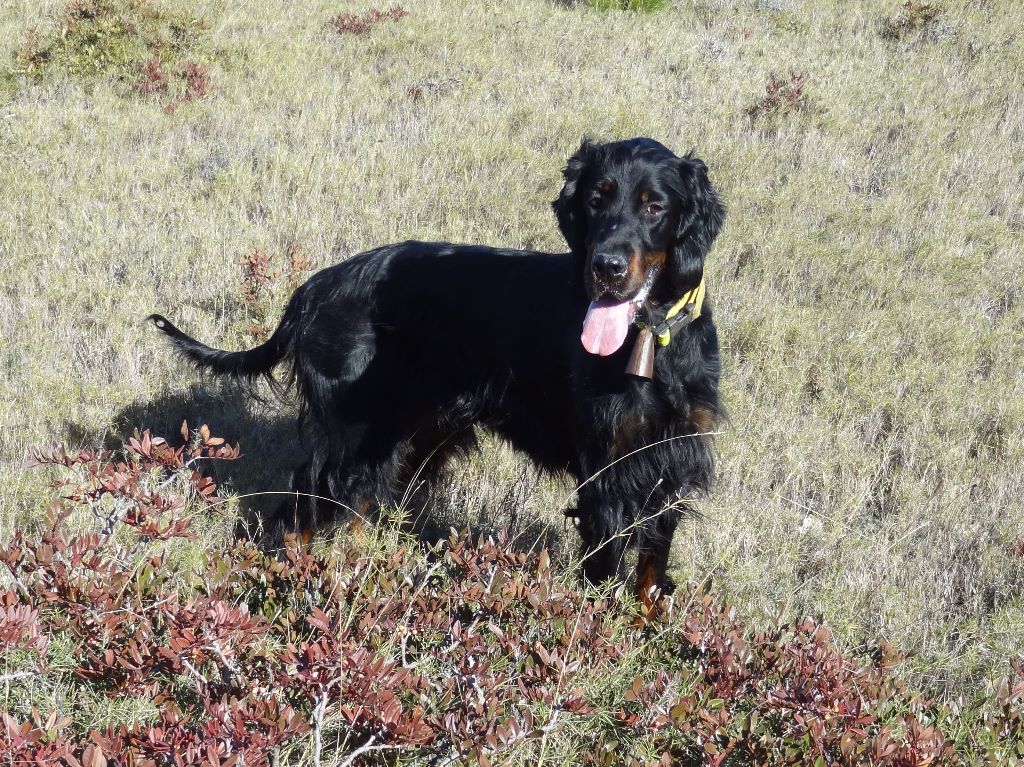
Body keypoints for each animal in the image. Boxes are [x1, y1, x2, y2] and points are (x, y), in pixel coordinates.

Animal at [153, 137, 729, 598]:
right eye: (595, 200)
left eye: (654, 206)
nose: (605, 267)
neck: (650, 337)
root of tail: (312, 289)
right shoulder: (607, 473)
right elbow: (604, 574)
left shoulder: (669, 463)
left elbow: (650, 571)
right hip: (358, 429)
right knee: (305, 500)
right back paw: (286, 575)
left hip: (409, 431)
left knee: (360, 498)